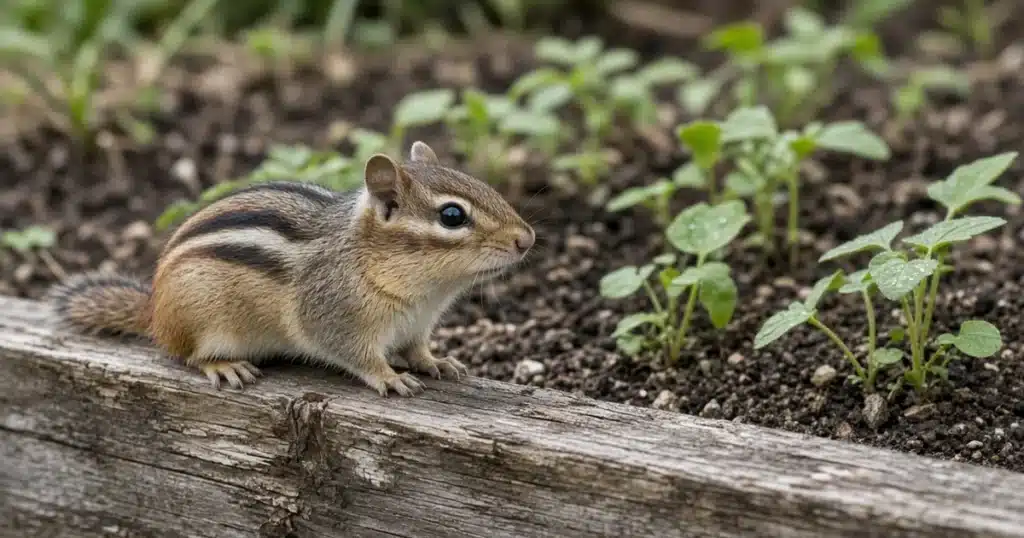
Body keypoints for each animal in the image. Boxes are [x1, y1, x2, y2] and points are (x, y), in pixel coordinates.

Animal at [46, 141, 535, 397]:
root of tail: (153, 311)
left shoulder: (417, 325)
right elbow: (357, 356)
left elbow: (417, 349)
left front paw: (437, 363)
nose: (527, 238)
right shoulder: (334, 317)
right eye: (452, 216)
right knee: (187, 355)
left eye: (485, 186)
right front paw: (390, 377)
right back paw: (224, 367)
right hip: (203, 320)